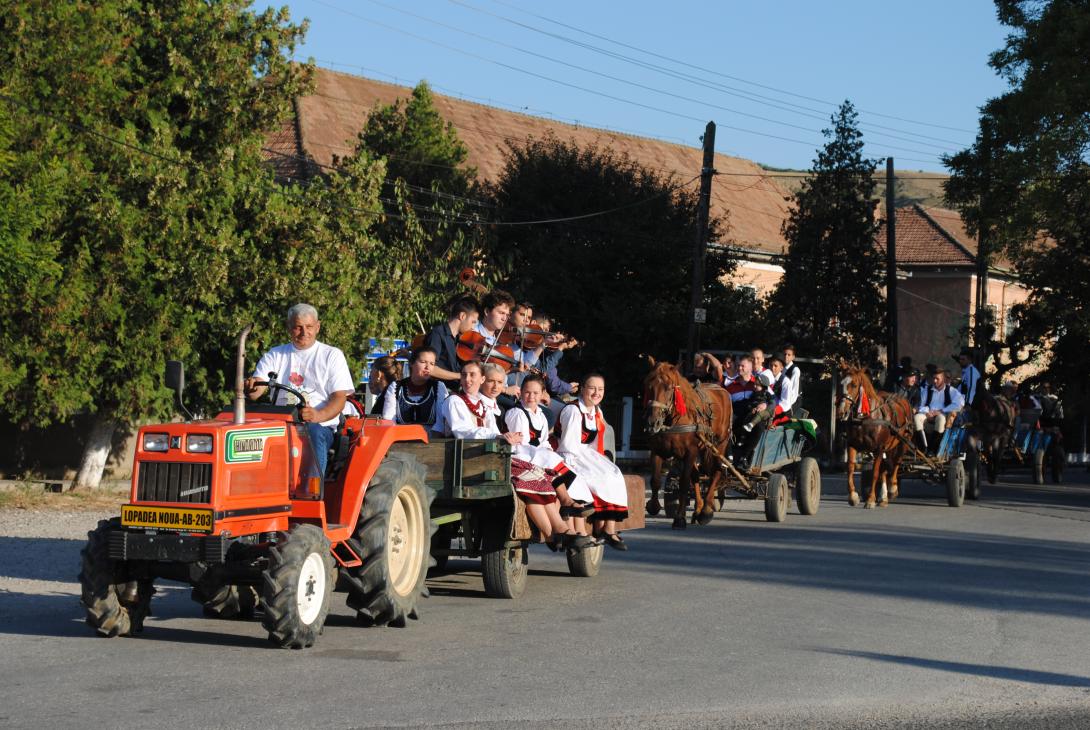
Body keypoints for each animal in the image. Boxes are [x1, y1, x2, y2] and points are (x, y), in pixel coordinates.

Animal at [636, 361, 732, 529]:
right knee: (696, 476)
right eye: (648, 384)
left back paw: (706, 510)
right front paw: (653, 505)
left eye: (669, 387)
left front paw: (680, 518)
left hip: (719, 445)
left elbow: (684, 483)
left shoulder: (690, 452)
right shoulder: (657, 450)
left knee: (716, 471)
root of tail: (722, 390)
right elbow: (655, 480)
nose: (652, 422)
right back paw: (698, 509)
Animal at [837, 363, 915, 509]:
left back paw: (892, 489)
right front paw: (853, 496)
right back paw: (883, 497)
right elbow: (850, 468)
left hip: (903, 442)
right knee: (886, 468)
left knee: (896, 463)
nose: (841, 411)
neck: (865, 419)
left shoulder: (879, 448)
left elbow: (875, 473)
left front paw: (870, 499)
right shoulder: (852, 444)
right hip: (888, 447)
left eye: (854, 385)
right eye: (841, 384)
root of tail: (902, 398)